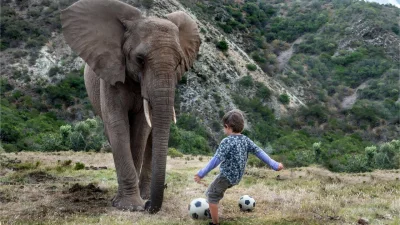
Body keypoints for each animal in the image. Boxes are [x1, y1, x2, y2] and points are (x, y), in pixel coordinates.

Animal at [60, 0, 200, 213]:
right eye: (140, 59)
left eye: (178, 63)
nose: (149, 207)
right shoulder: (111, 71)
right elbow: (118, 124)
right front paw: (130, 206)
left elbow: (141, 128)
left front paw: (136, 203)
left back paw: (145, 195)